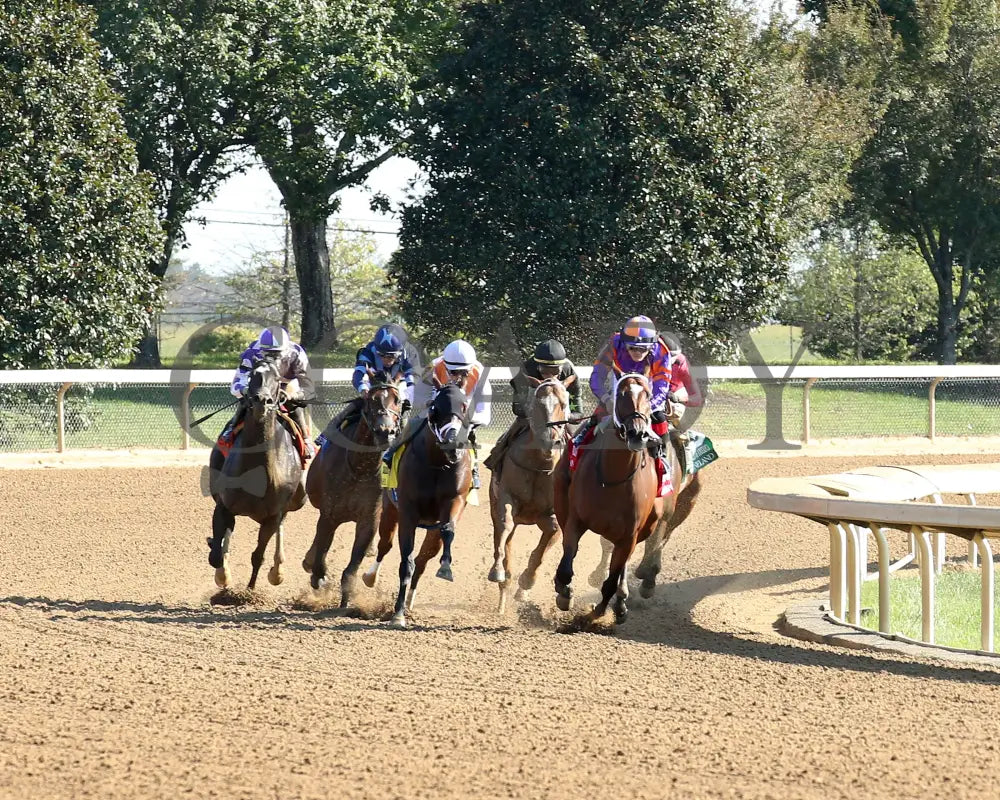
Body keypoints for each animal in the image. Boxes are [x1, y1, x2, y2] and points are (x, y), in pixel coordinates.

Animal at [207, 360, 304, 592]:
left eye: (276, 378)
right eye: (252, 374)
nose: (262, 401)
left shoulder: (272, 516)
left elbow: (258, 556)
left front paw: (249, 591)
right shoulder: (223, 507)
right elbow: (217, 554)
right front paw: (223, 577)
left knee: (280, 528)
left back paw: (277, 571)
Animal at [302, 374, 404, 608]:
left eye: (397, 400)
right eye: (372, 400)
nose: (386, 432)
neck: (359, 468)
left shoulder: (369, 517)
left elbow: (352, 567)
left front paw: (346, 600)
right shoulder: (329, 514)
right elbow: (321, 550)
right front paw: (318, 577)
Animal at [360, 384, 472, 628]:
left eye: (464, 406)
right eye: (435, 408)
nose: (454, 444)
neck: (437, 463)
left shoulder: (455, 500)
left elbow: (448, 530)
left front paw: (446, 567)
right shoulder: (407, 512)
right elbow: (406, 561)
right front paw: (398, 614)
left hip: (432, 530)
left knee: (423, 559)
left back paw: (411, 599)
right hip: (390, 511)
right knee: (385, 545)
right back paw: (371, 576)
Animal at [488, 376, 576, 612]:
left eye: (564, 403)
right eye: (537, 404)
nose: (550, 440)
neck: (539, 463)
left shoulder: (553, 517)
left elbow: (542, 549)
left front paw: (527, 581)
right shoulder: (506, 499)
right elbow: (505, 523)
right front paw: (498, 571)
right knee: (505, 536)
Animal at [552, 372, 700, 620]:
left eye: (648, 396)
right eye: (620, 395)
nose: (637, 433)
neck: (613, 479)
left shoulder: (630, 534)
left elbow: (612, 580)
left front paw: (599, 613)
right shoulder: (575, 520)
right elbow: (565, 566)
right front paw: (565, 594)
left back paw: (627, 594)